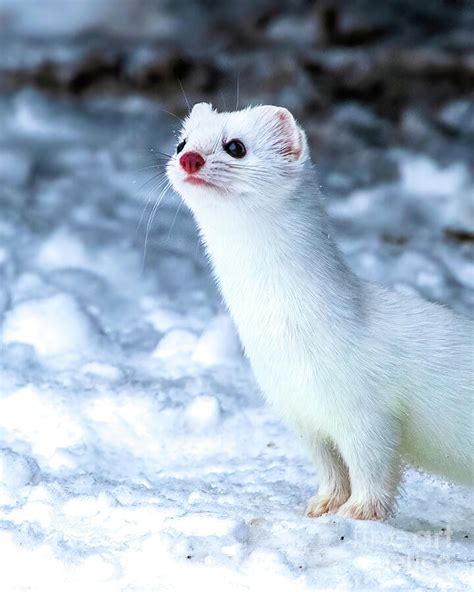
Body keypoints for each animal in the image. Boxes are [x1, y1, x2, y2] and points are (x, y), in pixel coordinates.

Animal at [168, 104, 474, 520]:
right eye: (181, 142)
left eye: (235, 146)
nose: (190, 159)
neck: (283, 336)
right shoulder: (299, 412)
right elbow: (328, 465)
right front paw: (323, 505)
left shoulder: (365, 410)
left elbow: (373, 466)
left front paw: (359, 512)